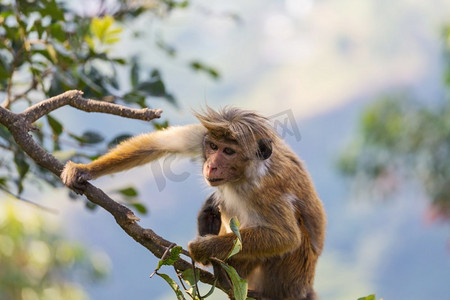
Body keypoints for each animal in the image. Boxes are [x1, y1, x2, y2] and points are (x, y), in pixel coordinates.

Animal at [60, 106, 326, 298]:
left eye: (229, 152)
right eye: (214, 146)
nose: (212, 165)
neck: (243, 175)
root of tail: (304, 287)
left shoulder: (265, 191)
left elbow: (286, 237)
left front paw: (203, 248)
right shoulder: (202, 137)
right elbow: (158, 144)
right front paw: (85, 170)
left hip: (286, 275)